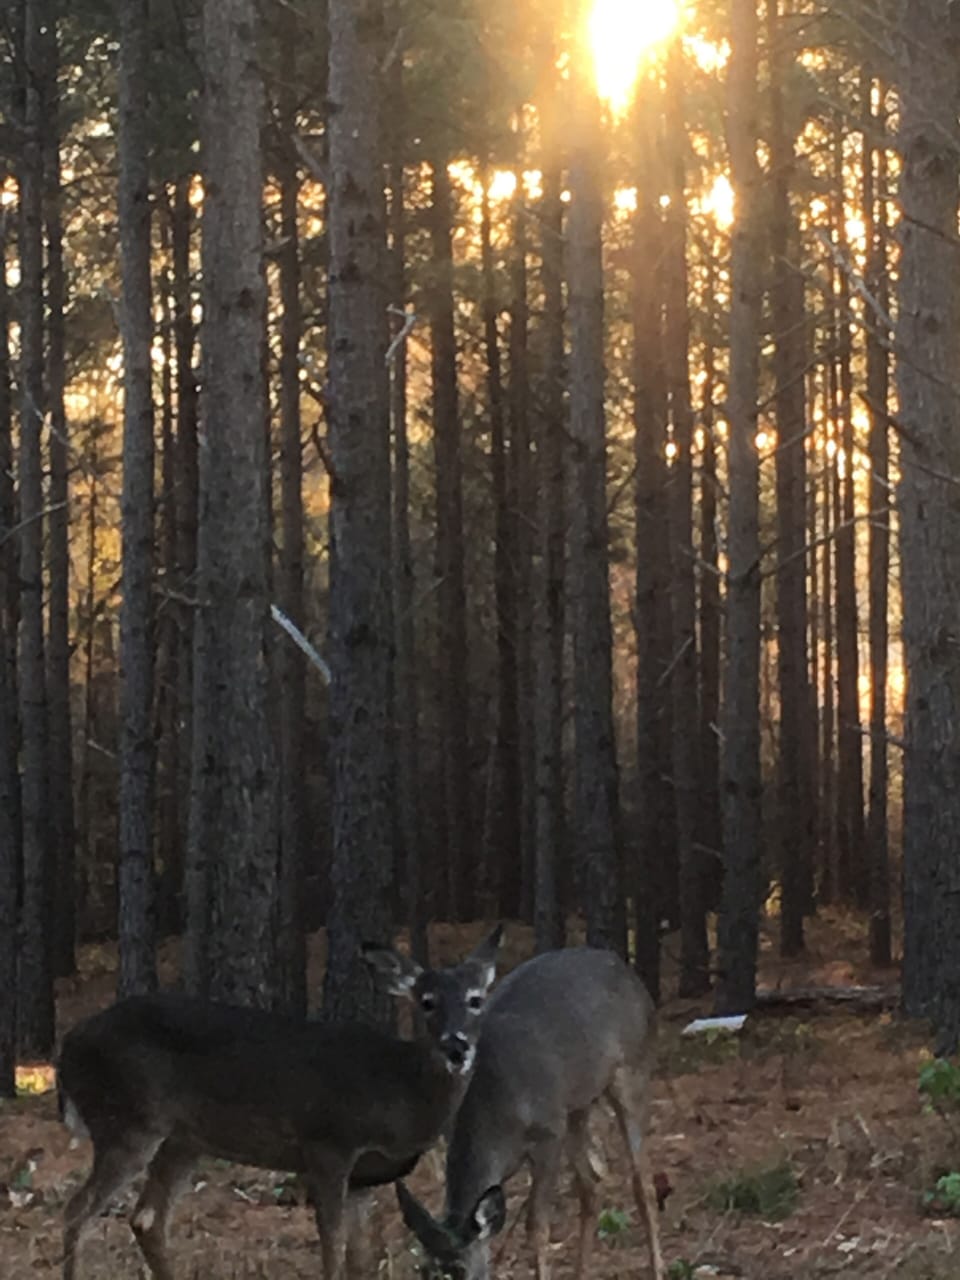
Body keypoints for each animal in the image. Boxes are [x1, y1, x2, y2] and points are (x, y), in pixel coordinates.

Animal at [56, 925, 503, 1280]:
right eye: (426, 1001)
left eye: (476, 999)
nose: (456, 1046)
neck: (400, 1094)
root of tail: (68, 1046)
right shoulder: (328, 1144)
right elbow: (332, 1248)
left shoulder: (365, 1177)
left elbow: (361, 1259)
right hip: (127, 1121)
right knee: (77, 1210)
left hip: (182, 1140)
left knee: (147, 1218)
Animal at [395, 945, 666, 1280]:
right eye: (421, 1271)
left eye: (461, 1271)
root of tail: (628, 972)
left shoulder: (548, 1133)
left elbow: (536, 1226)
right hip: (576, 1107)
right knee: (591, 1186)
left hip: (632, 1071)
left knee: (642, 1182)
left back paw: (657, 1267)